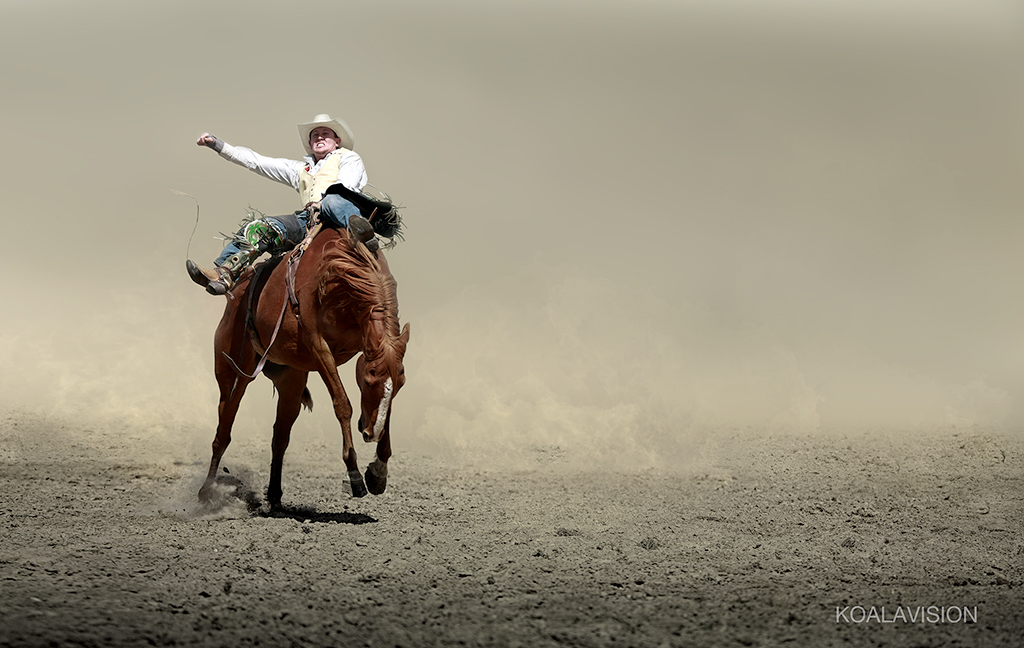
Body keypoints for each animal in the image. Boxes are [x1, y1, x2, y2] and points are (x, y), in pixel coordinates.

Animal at [197, 226, 409, 505]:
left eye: (401, 384)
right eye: (367, 381)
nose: (371, 433)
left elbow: (388, 409)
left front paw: (378, 472)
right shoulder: (319, 348)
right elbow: (342, 405)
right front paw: (354, 474)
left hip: (291, 381)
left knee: (280, 437)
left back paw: (275, 496)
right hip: (233, 373)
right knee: (223, 431)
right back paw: (206, 492)